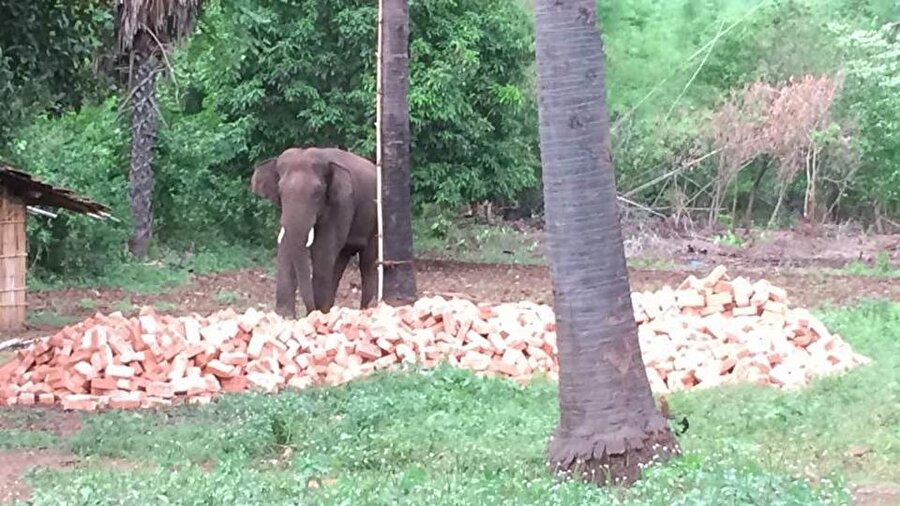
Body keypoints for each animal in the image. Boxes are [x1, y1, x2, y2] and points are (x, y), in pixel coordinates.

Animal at [251, 144, 378, 318]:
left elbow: (322, 250)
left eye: (317, 192)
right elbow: (285, 248)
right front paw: (285, 316)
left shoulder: (341, 204)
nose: (309, 311)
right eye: (280, 190)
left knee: (367, 263)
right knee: (340, 260)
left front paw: (316, 313)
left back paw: (364, 309)